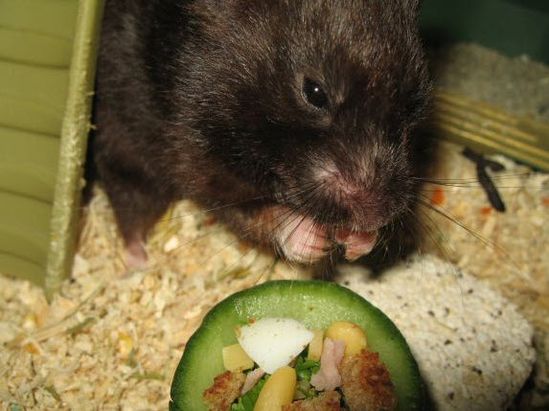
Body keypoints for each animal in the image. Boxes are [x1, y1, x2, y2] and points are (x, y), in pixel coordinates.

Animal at [92, 0, 430, 268]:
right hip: (121, 139)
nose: (376, 217)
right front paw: (314, 239)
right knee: (130, 203)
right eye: (314, 93)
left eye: (414, 103)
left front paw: (359, 241)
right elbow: (247, 210)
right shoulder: (194, 155)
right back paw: (137, 264)